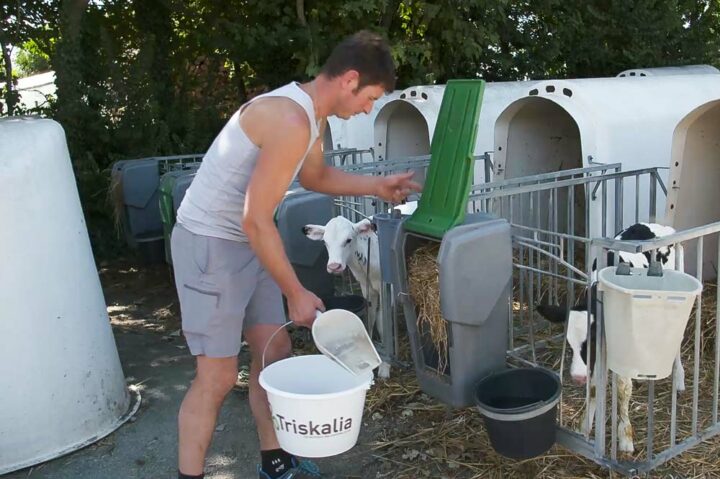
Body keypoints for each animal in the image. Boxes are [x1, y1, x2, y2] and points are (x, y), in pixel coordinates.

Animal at [540, 222, 688, 454]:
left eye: (590, 340)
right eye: (570, 345)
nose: (577, 377)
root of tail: (660, 226)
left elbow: (622, 388)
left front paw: (625, 437)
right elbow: (594, 387)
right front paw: (585, 427)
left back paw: (679, 379)